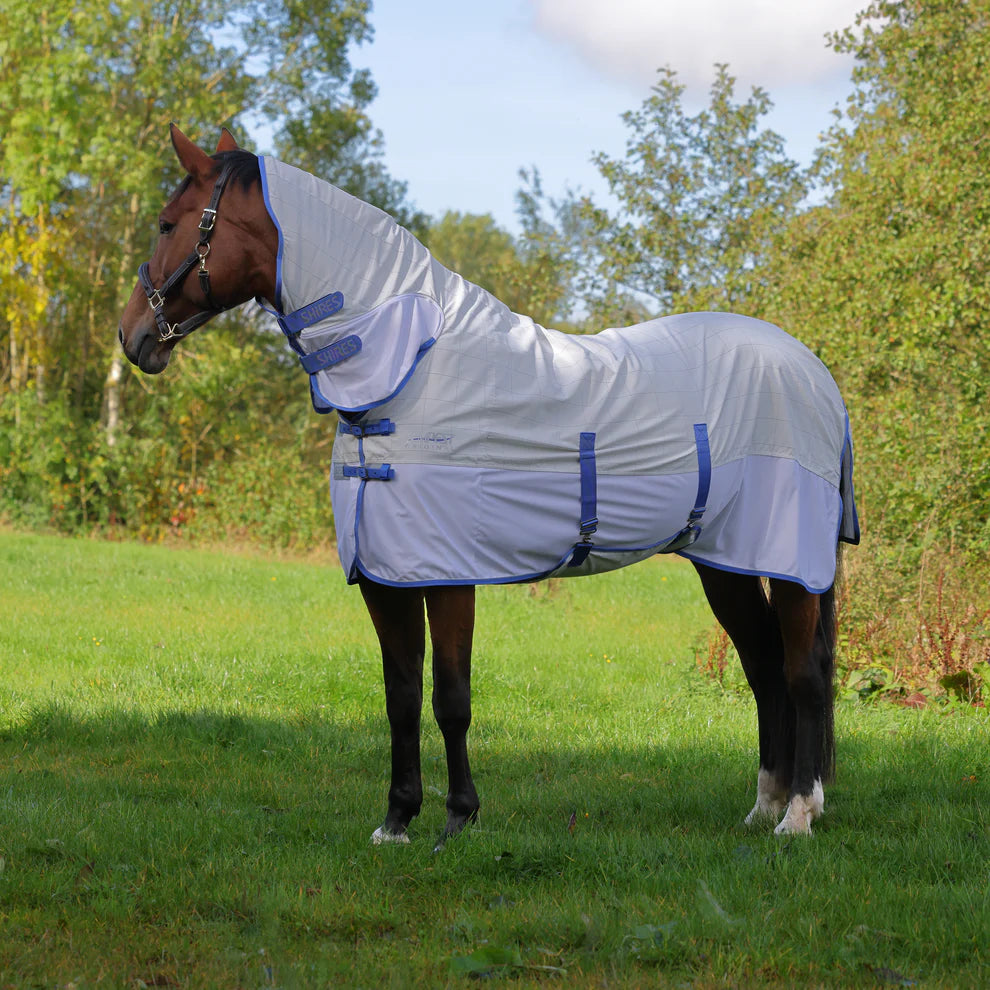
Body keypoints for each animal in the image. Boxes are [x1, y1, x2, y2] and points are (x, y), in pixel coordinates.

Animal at [118, 126, 859, 846]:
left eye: (166, 223)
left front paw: (458, 817)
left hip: (792, 565)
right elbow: (401, 694)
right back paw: (763, 809)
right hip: (725, 560)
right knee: (764, 669)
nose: (133, 338)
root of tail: (814, 374)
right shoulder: (387, 574)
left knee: (802, 674)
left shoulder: (448, 573)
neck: (413, 369)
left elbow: (451, 696)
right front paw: (397, 819)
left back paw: (798, 815)